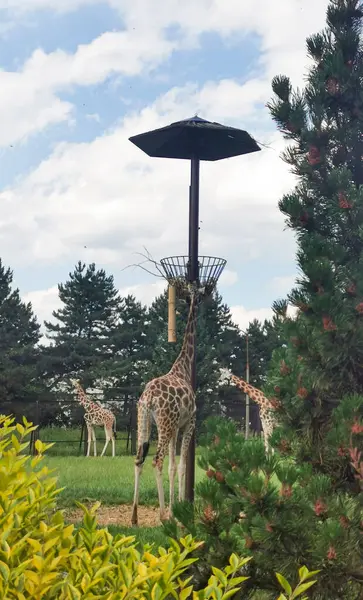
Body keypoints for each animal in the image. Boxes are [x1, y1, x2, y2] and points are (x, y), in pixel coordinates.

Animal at [131, 284, 202, 524]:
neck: (183, 366)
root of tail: (149, 397)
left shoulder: (175, 428)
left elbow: (173, 466)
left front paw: (175, 508)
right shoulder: (189, 423)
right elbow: (181, 466)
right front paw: (179, 509)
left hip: (144, 421)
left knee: (139, 459)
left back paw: (134, 517)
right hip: (163, 423)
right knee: (156, 460)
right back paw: (162, 516)